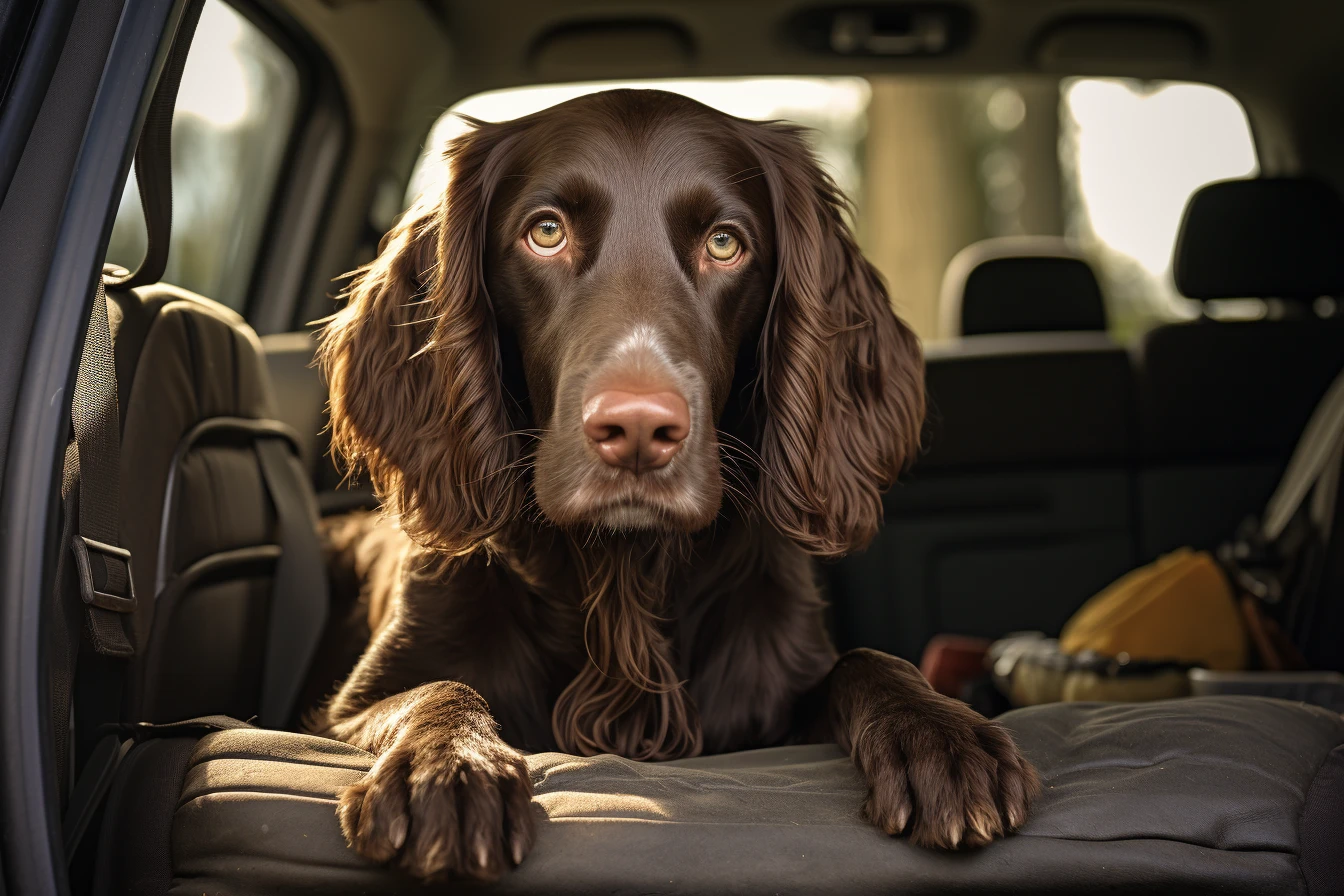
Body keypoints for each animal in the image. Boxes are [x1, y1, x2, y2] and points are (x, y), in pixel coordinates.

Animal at [314, 89, 1037, 881]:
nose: (636, 429)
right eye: (546, 232)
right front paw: (449, 766)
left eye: (724, 244)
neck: (627, 580)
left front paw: (941, 734)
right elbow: (436, 689)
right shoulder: (343, 712)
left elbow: (870, 661)